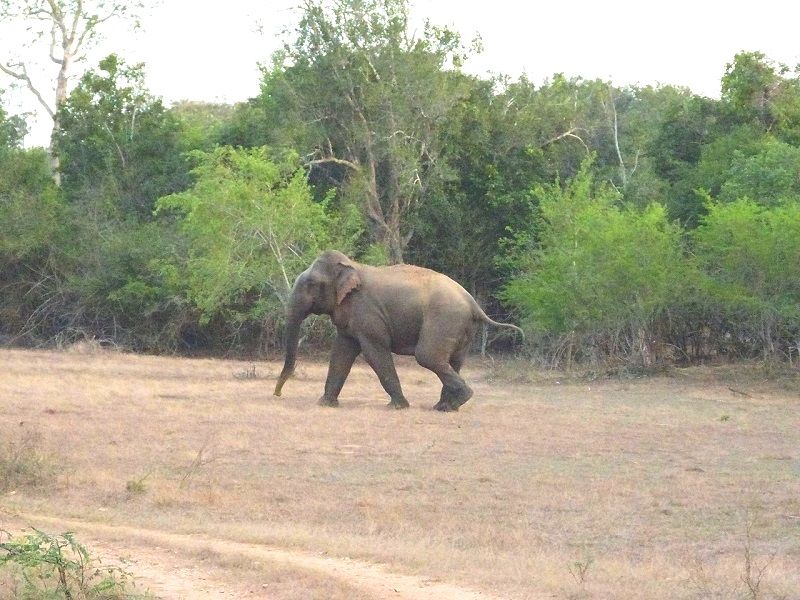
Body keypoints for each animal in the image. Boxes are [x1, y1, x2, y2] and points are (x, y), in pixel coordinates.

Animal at [273, 250, 523, 411]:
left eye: (311, 284)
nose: (277, 394)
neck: (353, 266)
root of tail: (473, 303)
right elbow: (341, 353)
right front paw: (325, 404)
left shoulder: (368, 315)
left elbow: (374, 352)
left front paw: (398, 407)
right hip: (462, 328)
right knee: (453, 361)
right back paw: (445, 407)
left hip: (444, 319)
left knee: (428, 356)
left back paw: (458, 400)